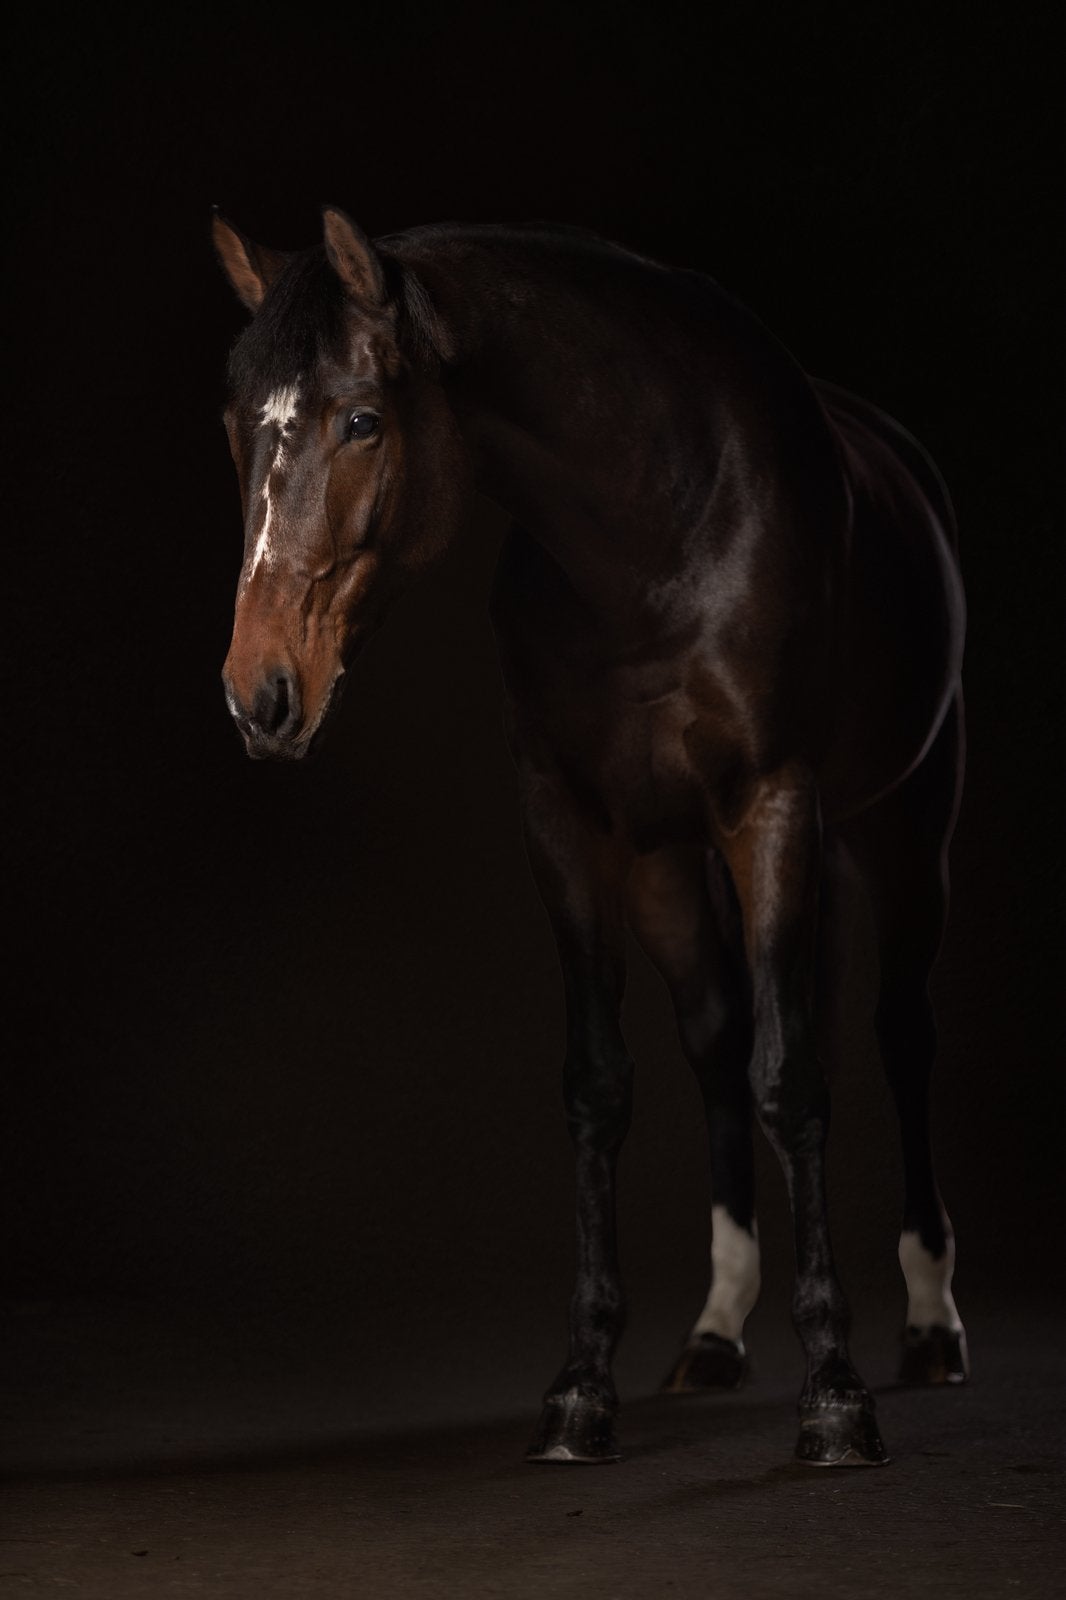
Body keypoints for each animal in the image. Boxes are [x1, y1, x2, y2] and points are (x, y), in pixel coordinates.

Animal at [212, 206, 968, 1468]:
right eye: (234, 427)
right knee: (719, 1032)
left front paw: (832, 1392)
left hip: (900, 826)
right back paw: (715, 1330)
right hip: (671, 864)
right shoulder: (568, 825)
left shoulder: (774, 802)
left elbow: (793, 1077)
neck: (654, 531)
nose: (258, 693)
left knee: (898, 1035)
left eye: (362, 418)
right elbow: (601, 1084)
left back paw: (928, 1318)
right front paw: (581, 1386)